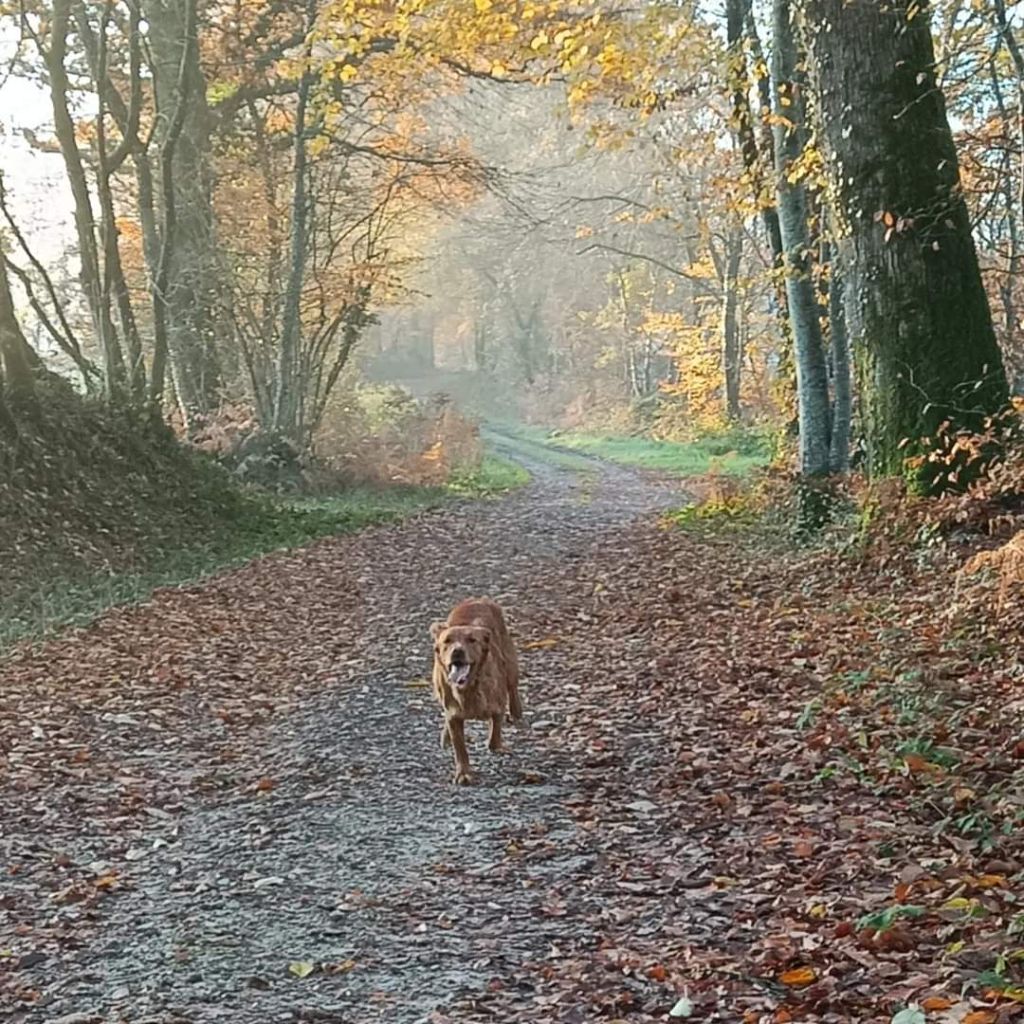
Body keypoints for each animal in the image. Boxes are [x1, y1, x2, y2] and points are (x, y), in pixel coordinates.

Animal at [428, 598, 520, 786]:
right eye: (447, 641)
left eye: (471, 640)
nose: (457, 651)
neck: (468, 688)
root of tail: (478, 598)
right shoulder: (453, 715)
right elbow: (460, 748)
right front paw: (464, 773)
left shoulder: (497, 704)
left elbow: (495, 729)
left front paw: (497, 746)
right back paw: (445, 736)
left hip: (510, 663)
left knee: (513, 687)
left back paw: (518, 713)